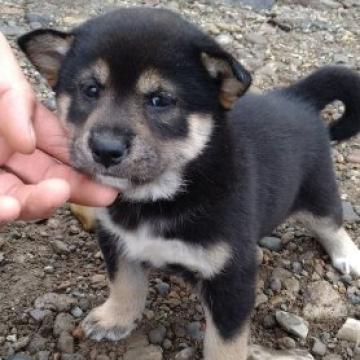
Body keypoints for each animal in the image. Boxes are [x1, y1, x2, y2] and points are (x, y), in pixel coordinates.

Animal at [18, 8, 360, 360]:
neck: (158, 195)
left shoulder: (232, 276)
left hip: (318, 189)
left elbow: (225, 342)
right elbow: (125, 282)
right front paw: (115, 318)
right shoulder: (117, 239)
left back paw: (348, 256)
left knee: (331, 223)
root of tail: (296, 97)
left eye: (160, 100)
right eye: (90, 89)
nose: (105, 149)